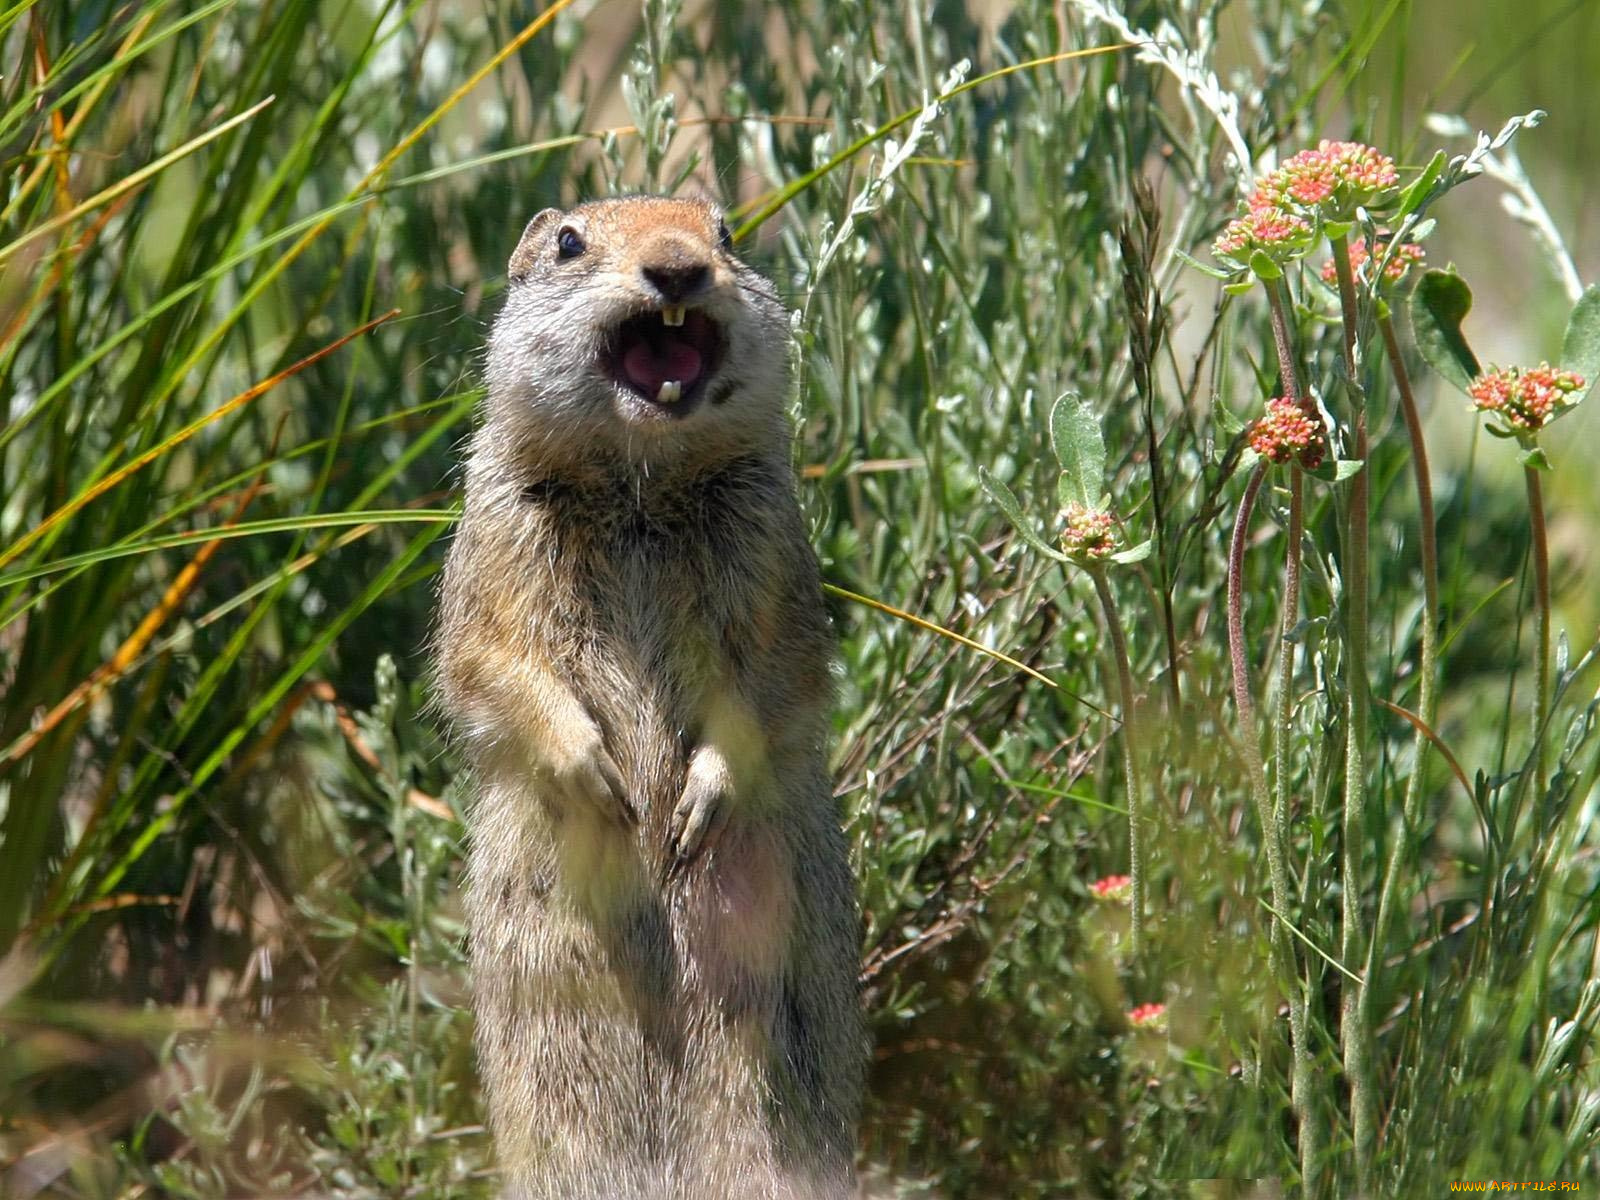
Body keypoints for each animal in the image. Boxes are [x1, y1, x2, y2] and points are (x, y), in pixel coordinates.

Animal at [435, 200, 864, 1200]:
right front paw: (599, 781)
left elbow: (771, 680)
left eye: (727, 232)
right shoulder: (495, 549)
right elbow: (495, 664)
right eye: (567, 243)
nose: (677, 269)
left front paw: (696, 801)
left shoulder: (774, 561)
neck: (641, 486)